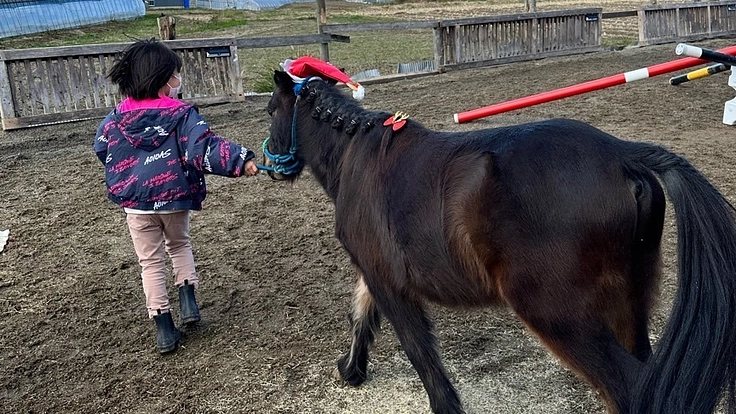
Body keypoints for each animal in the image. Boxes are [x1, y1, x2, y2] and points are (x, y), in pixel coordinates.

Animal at [262, 69, 736, 414]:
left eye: (270, 110)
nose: (267, 164)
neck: (355, 156)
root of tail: (622, 154)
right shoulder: (373, 270)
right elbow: (360, 314)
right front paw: (351, 370)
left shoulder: (390, 284)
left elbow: (419, 350)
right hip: (628, 301)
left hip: (559, 315)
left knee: (632, 388)